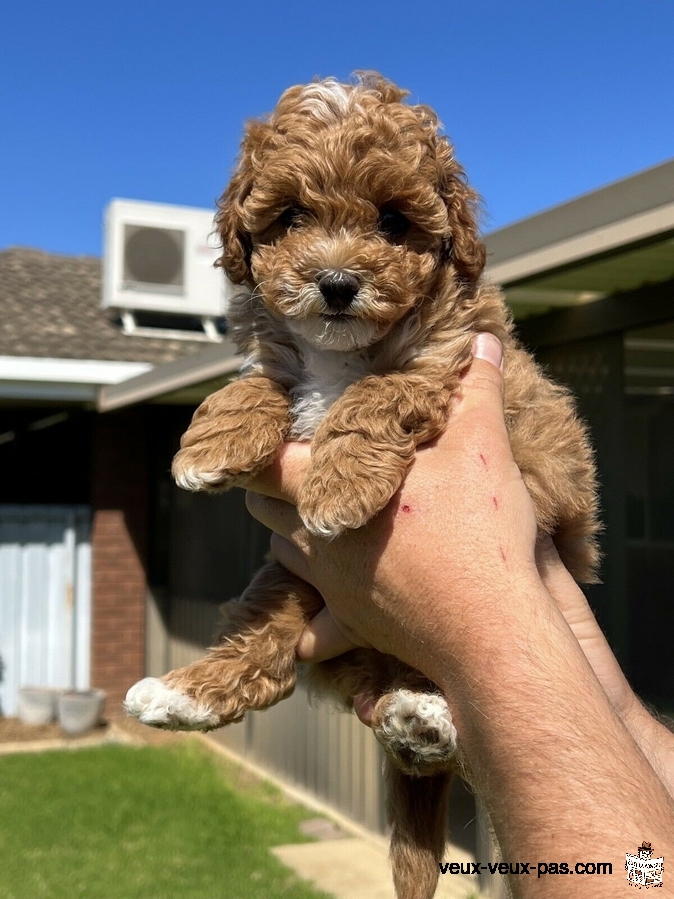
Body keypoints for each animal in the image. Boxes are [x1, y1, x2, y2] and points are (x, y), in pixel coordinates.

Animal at [123, 74, 596, 899]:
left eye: (393, 220)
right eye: (289, 216)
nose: (338, 283)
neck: (339, 351)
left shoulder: (452, 358)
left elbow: (382, 391)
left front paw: (337, 487)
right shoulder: (283, 360)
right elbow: (258, 382)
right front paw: (212, 444)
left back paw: (425, 718)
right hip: (289, 580)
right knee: (265, 653)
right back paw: (183, 694)